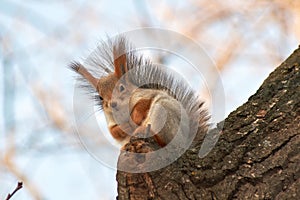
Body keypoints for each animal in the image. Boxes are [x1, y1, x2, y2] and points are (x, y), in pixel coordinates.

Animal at [69, 36, 209, 148]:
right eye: (100, 98)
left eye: (121, 88)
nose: (112, 104)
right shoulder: (109, 119)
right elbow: (114, 132)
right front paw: (123, 128)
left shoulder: (146, 95)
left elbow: (144, 102)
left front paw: (135, 118)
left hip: (164, 113)